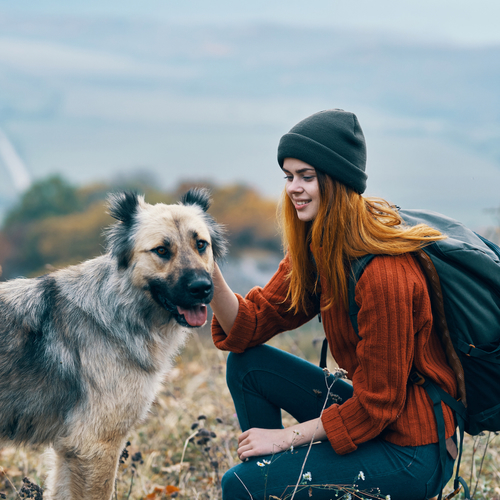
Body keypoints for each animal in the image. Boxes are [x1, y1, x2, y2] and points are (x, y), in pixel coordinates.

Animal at [0, 188, 227, 500]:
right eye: (161, 250)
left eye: (201, 245)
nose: (202, 288)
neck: (119, 307)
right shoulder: (95, 445)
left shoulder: (70, 450)